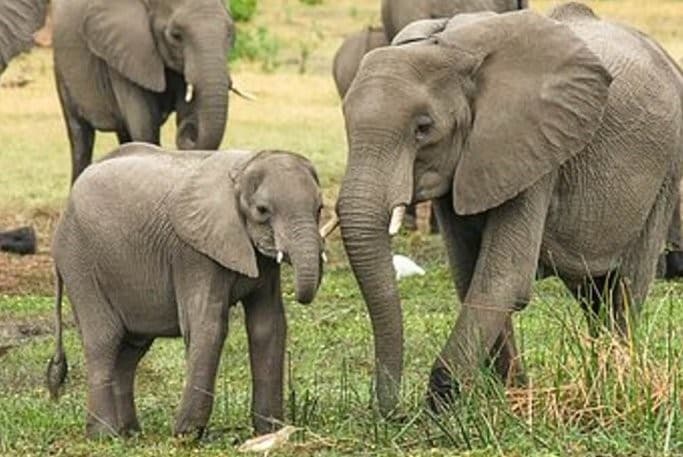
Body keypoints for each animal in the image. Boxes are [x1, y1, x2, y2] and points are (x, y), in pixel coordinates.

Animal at [46, 143, 326, 438]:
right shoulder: (194, 253)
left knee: (131, 349)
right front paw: (187, 435)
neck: (244, 166)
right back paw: (104, 435)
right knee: (104, 340)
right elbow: (208, 326)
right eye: (262, 210)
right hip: (80, 263)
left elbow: (268, 326)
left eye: (319, 208)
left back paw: (130, 433)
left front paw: (269, 431)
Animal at [53, 0, 235, 184]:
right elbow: (144, 127)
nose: (189, 129)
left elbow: (185, 111)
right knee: (80, 138)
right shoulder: (126, 54)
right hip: (62, 72)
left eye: (230, 34)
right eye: (176, 36)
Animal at [336, 3, 683, 416]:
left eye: (423, 128)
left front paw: (442, 405)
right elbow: (469, 274)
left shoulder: (534, 149)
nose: (391, 411)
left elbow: (503, 277)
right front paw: (511, 397)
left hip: (666, 170)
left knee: (625, 286)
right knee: (591, 291)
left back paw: (617, 382)